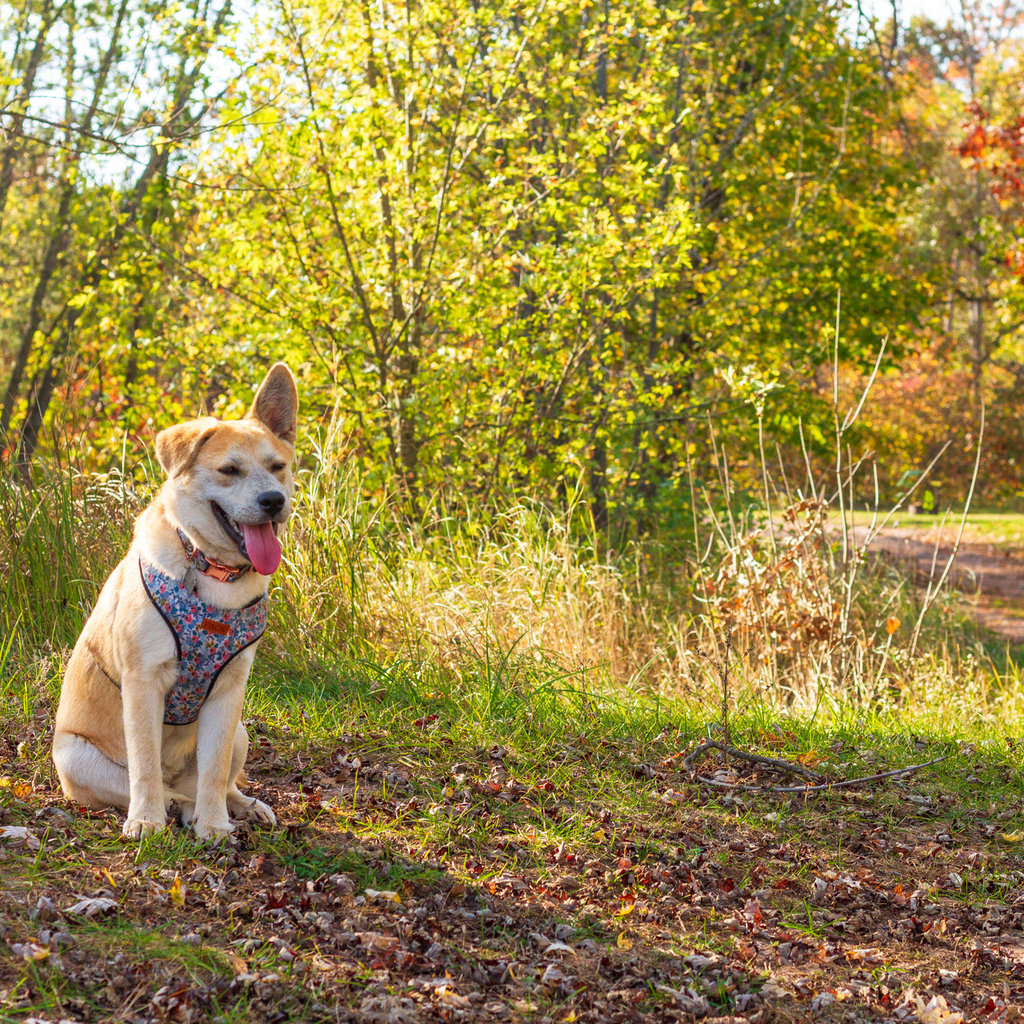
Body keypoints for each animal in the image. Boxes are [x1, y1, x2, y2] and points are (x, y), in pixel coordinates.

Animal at [53, 363, 298, 840]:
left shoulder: (229, 691)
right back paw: (174, 809)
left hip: (241, 732)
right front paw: (147, 821)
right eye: (229, 470)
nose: (273, 501)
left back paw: (238, 806)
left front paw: (215, 824)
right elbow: (145, 766)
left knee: (215, 782)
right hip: (78, 758)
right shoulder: (144, 683)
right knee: (158, 788)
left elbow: (214, 770)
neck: (210, 570)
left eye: (277, 467)